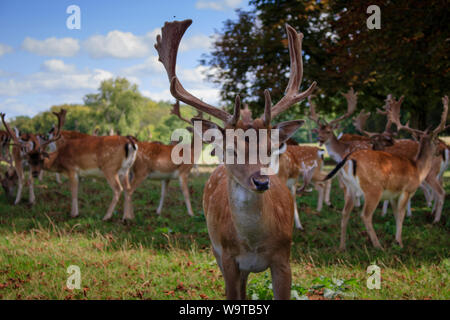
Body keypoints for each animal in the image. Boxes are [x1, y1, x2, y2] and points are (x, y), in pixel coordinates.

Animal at [155, 20, 316, 300]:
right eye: (230, 149)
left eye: (271, 148)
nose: (261, 182)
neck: (253, 244)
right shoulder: (228, 258)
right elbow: (233, 293)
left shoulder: (284, 258)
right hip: (215, 249)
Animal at [326, 95, 448, 250]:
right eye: (437, 141)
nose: (440, 150)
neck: (418, 170)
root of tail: (349, 158)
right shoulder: (406, 190)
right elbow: (401, 215)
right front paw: (399, 242)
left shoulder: (393, 195)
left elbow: (396, 215)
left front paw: (397, 239)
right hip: (373, 189)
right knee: (365, 215)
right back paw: (378, 246)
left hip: (349, 188)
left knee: (344, 213)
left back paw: (342, 247)